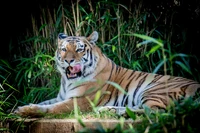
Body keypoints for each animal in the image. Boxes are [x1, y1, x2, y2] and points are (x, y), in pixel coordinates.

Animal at [14, 30, 200, 117]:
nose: (69, 61)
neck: (67, 81)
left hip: (155, 90)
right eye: (64, 49)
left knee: (155, 112)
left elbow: (53, 108)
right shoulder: (61, 96)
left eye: (79, 49)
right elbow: (45, 102)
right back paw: (107, 110)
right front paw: (19, 108)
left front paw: (26, 111)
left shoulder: (81, 101)